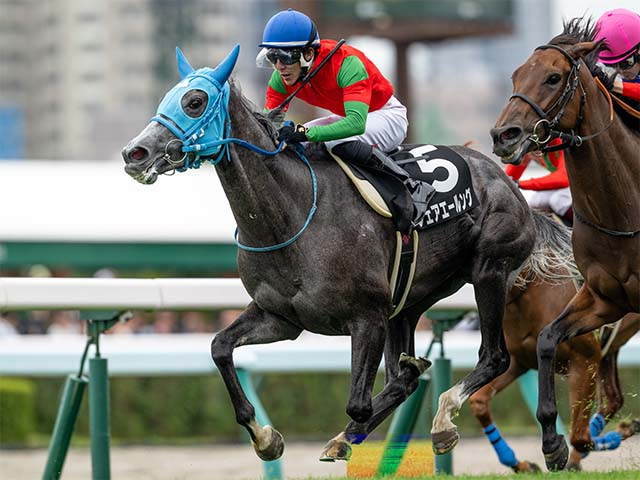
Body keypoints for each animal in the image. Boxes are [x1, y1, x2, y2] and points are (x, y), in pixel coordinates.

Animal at [122, 45, 564, 463]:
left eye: (195, 101)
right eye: (167, 97)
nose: (134, 153)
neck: (293, 215)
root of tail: (508, 182)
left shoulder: (367, 318)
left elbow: (358, 403)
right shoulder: (280, 317)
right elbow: (219, 348)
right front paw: (265, 438)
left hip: (490, 271)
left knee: (494, 356)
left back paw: (445, 421)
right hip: (409, 301)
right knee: (406, 376)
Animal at [469, 230, 640, 471]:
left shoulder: (583, 361)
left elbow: (578, 435)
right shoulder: (518, 362)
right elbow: (478, 402)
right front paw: (522, 465)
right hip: (610, 351)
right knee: (612, 400)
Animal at [490, 18, 640, 470]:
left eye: (553, 78)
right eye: (516, 76)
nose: (504, 135)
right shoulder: (603, 300)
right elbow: (547, 340)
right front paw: (553, 443)